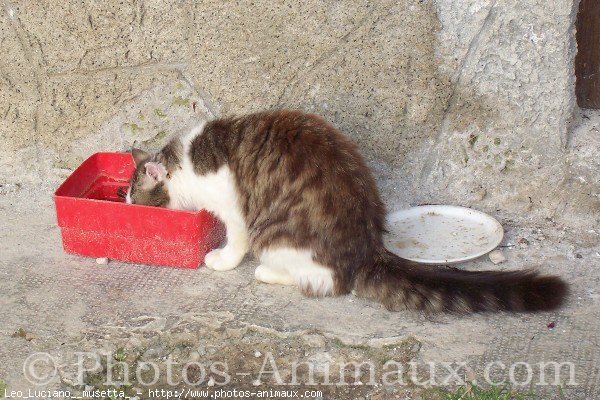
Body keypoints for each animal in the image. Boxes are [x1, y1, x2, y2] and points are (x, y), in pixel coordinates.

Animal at [125, 108, 568, 312]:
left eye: (132, 197)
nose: (125, 203)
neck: (184, 162)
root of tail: (369, 248)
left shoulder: (234, 212)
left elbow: (235, 242)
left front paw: (221, 260)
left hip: (275, 235)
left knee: (324, 281)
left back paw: (268, 272)